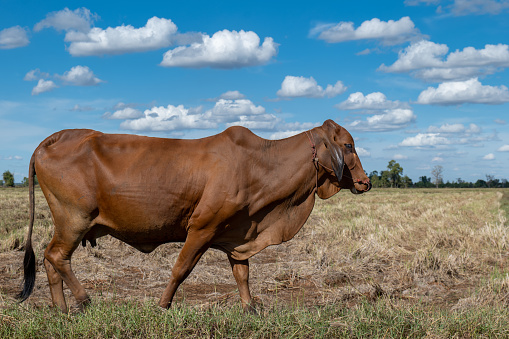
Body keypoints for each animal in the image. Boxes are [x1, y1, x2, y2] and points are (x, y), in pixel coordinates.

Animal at [18, 119, 370, 314]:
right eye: (349, 145)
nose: (365, 182)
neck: (259, 164)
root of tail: (52, 139)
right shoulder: (203, 228)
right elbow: (180, 269)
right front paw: (163, 304)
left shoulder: (238, 233)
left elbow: (242, 274)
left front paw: (250, 308)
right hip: (74, 220)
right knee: (56, 256)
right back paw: (83, 299)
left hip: (69, 224)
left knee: (51, 259)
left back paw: (62, 309)